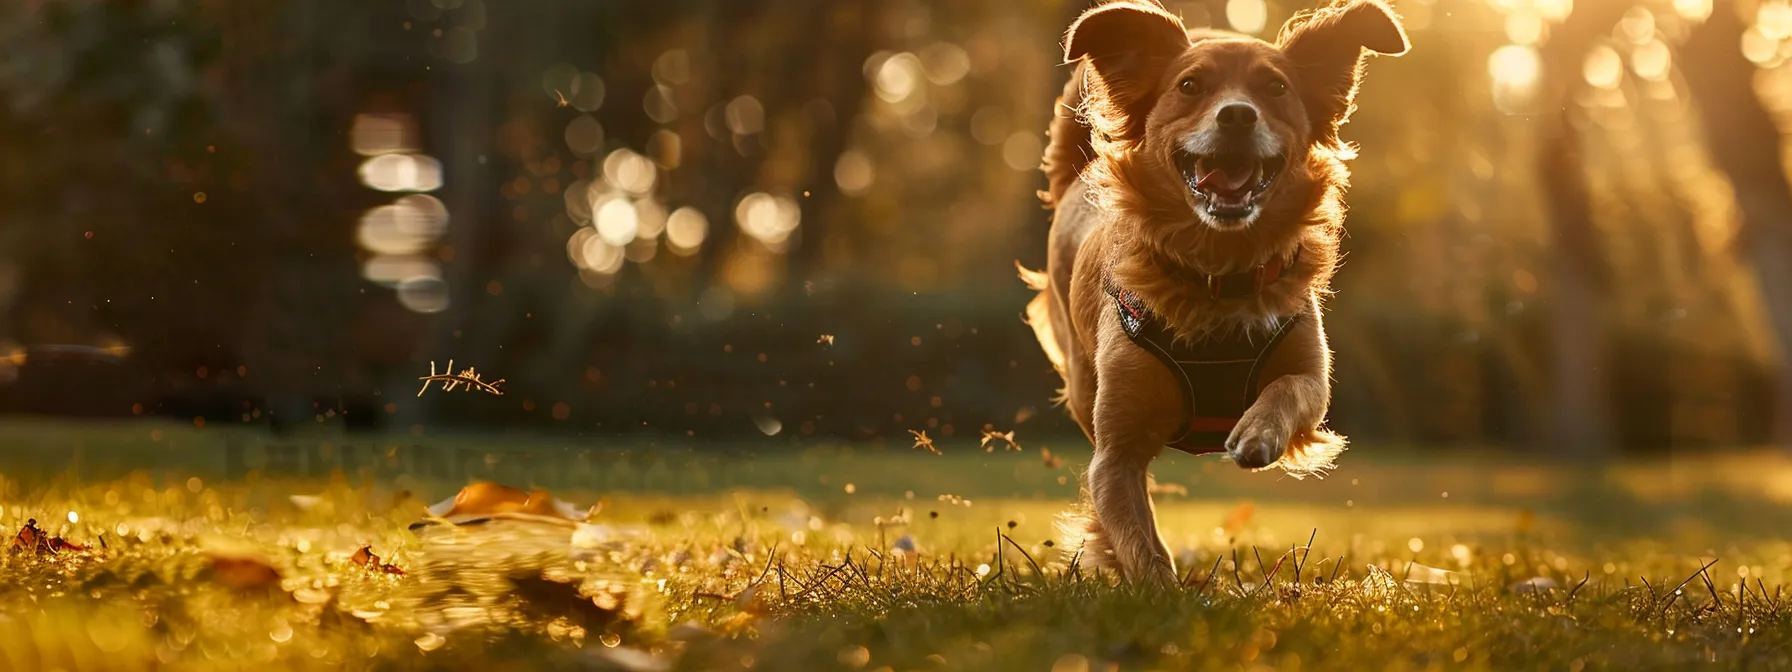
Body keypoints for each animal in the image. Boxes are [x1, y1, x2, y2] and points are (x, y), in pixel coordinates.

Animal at [1025, 0, 1397, 584]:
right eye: (1190, 85)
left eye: (1275, 87)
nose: (1238, 115)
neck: (1219, 271)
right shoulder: (1115, 454)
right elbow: (1136, 537)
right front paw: (1161, 593)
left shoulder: (1312, 377)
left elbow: (1294, 389)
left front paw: (1258, 432)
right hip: (1084, 382)